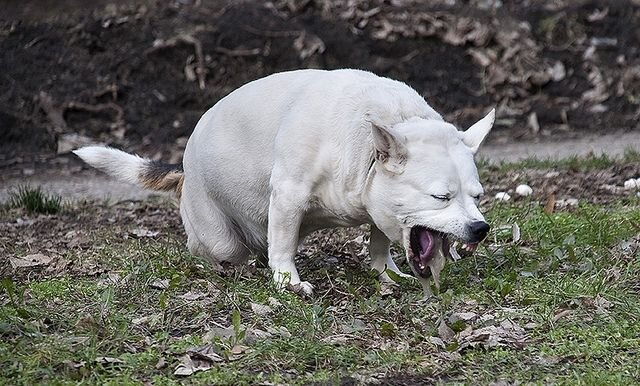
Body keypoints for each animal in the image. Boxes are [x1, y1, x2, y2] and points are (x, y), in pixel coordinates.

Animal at [76, 69, 496, 298]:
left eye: (477, 197)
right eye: (440, 197)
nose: (481, 228)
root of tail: (184, 171)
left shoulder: (378, 204)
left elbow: (379, 242)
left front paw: (385, 272)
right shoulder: (288, 197)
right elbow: (282, 247)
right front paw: (287, 283)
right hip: (219, 236)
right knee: (217, 249)